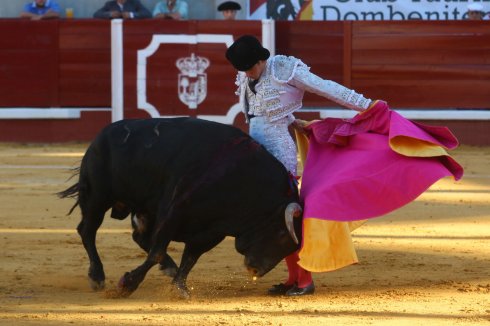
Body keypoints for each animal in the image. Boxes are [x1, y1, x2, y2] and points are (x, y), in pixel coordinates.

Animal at [58, 118, 302, 298]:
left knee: (139, 237)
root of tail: (101, 135)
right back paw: (97, 276)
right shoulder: (173, 212)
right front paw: (127, 285)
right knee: (87, 230)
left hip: (141, 209)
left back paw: (169, 267)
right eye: (281, 234)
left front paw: (179, 287)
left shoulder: (211, 231)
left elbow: (190, 257)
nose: (256, 271)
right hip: (97, 198)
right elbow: (157, 251)